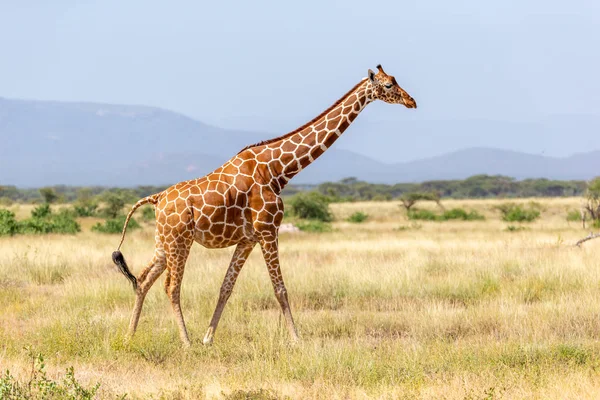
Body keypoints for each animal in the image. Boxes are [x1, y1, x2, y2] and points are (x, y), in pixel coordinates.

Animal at [112, 64, 414, 346]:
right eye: (389, 85)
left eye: (395, 80)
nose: (411, 101)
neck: (278, 170)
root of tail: (156, 198)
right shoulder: (269, 230)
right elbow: (280, 289)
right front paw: (297, 339)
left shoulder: (248, 239)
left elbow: (226, 287)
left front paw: (208, 338)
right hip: (179, 241)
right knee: (171, 286)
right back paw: (185, 342)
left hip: (163, 242)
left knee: (143, 279)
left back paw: (129, 336)